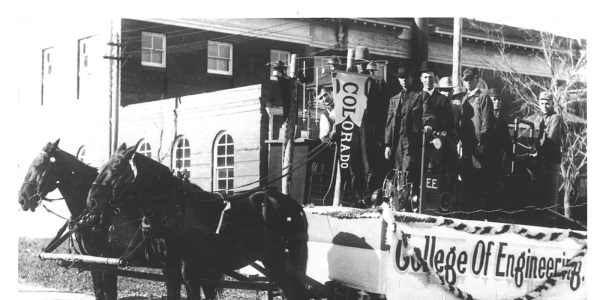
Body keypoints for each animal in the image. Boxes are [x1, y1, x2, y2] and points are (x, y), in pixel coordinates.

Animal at [86, 143, 312, 300]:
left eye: (116, 168)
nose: (91, 201)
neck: (174, 209)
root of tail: (294, 205)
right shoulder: (170, 269)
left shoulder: (190, 271)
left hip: (277, 262)